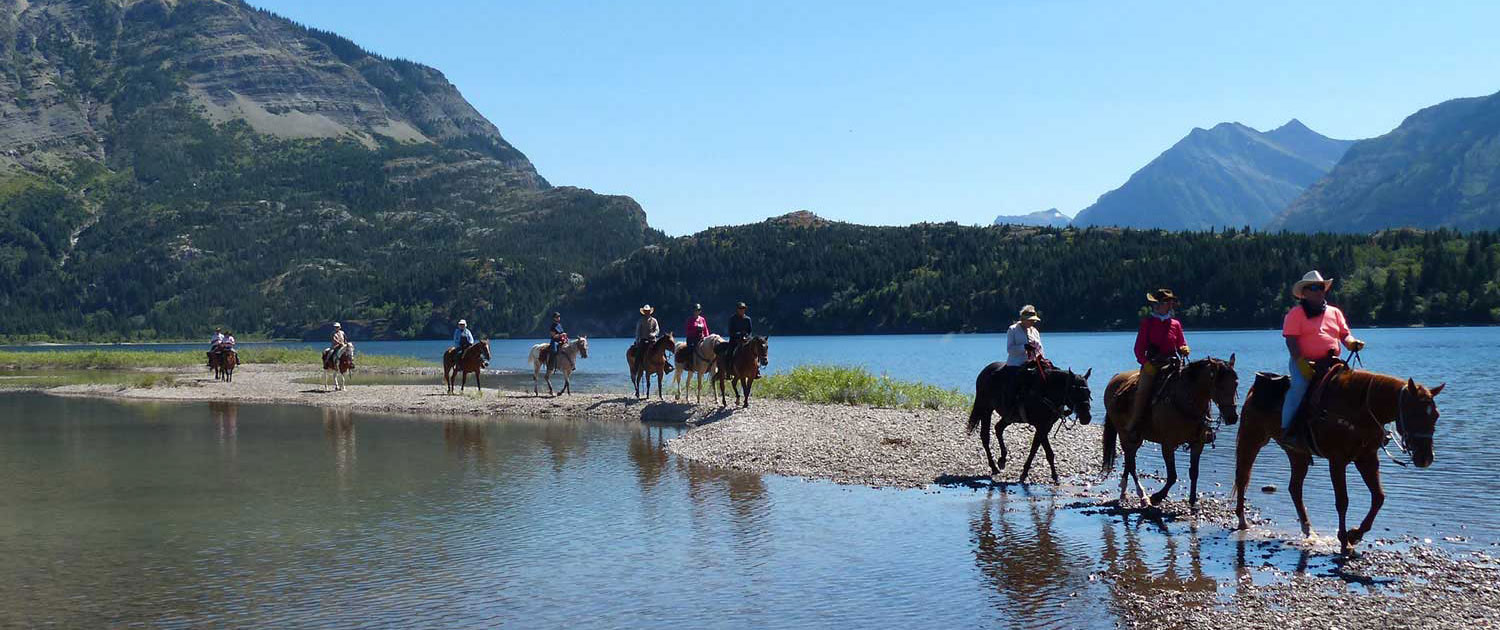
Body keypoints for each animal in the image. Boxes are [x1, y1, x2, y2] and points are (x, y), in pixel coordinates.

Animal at [966, 360, 1098, 483]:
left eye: (1088, 392)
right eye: (1074, 391)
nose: (1086, 417)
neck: (1046, 392)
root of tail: (984, 372)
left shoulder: (1046, 426)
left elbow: (1034, 449)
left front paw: (1025, 473)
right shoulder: (1041, 426)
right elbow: (1048, 452)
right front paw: (1055, 476)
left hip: (1008, 417)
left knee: (998, 428)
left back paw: (1002, 459)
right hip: (986, 409)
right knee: (985, 437)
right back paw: (993, 467)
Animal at [1104, 354, 1242, 507]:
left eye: (1235, 383)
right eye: (1219, 385)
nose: (1232, 417)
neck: (1184, 400)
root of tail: (1114, 380)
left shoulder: (1198, 443)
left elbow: (1194, 472)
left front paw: (1192, 501)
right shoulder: (1168, 444)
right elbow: (1172, 476)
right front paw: (1157, 497)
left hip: (1137, 438)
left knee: (1129, 461)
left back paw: (1124, 492)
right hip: (1125, 434)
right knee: (1131, 463)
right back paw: (1142, 496)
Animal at [1236, 366, 1446, 555]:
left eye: (1436, 415)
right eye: (1414, 413)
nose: (1426, 458)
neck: (1359, 409)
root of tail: (1255, 389)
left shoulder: (1367, 459)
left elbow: (1378, 497)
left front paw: (1355, 534)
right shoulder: (1337, 460)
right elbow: (1342, 501)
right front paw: (1345, 541)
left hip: (1297, 454)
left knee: (1295, 488)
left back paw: (1308, 529)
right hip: (1251, 439)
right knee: (1242, 477)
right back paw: (1242, 521)